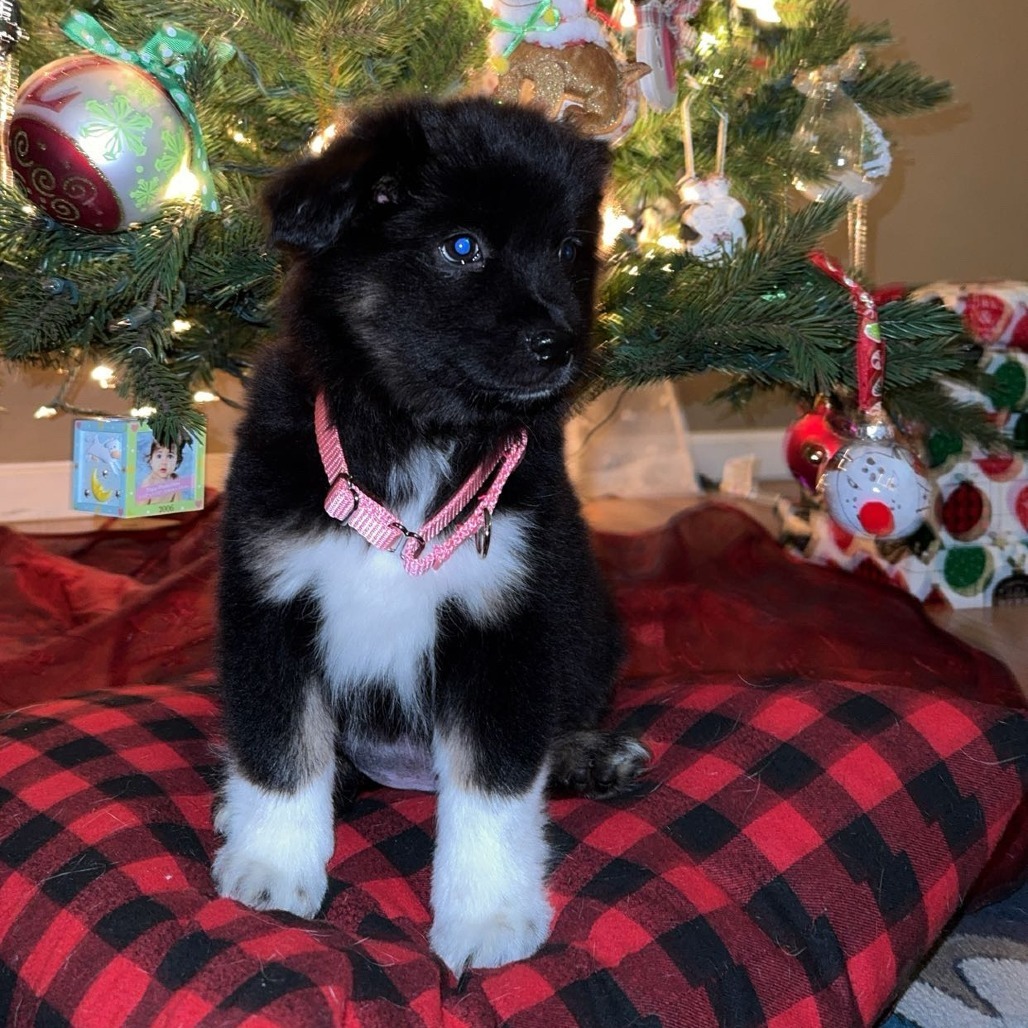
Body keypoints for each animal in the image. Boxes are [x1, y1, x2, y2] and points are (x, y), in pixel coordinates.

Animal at [214, 96, 649, 970]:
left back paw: (591, 752)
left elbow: (494, 785)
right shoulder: (271, 595)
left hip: (592, 630)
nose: (561, 345)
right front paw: (272, 865)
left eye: (567, 250)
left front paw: (488, 915)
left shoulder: (504, 621)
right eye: (463, 246)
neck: (417, 438)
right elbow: (281, 748)